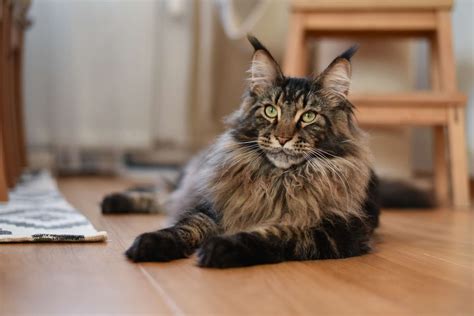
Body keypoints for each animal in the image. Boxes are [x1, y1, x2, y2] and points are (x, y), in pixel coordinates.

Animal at [102, 35, 432, 268]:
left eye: (308, 116)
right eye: (271, 111)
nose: (283, 138)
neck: (278, 181)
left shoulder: (336, 231)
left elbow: (275, 235)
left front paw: (222, 247)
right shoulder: (212, 207)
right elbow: (184, 226)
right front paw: (149, 244)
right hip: (195, 180)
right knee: (165, 191)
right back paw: (111, 200)